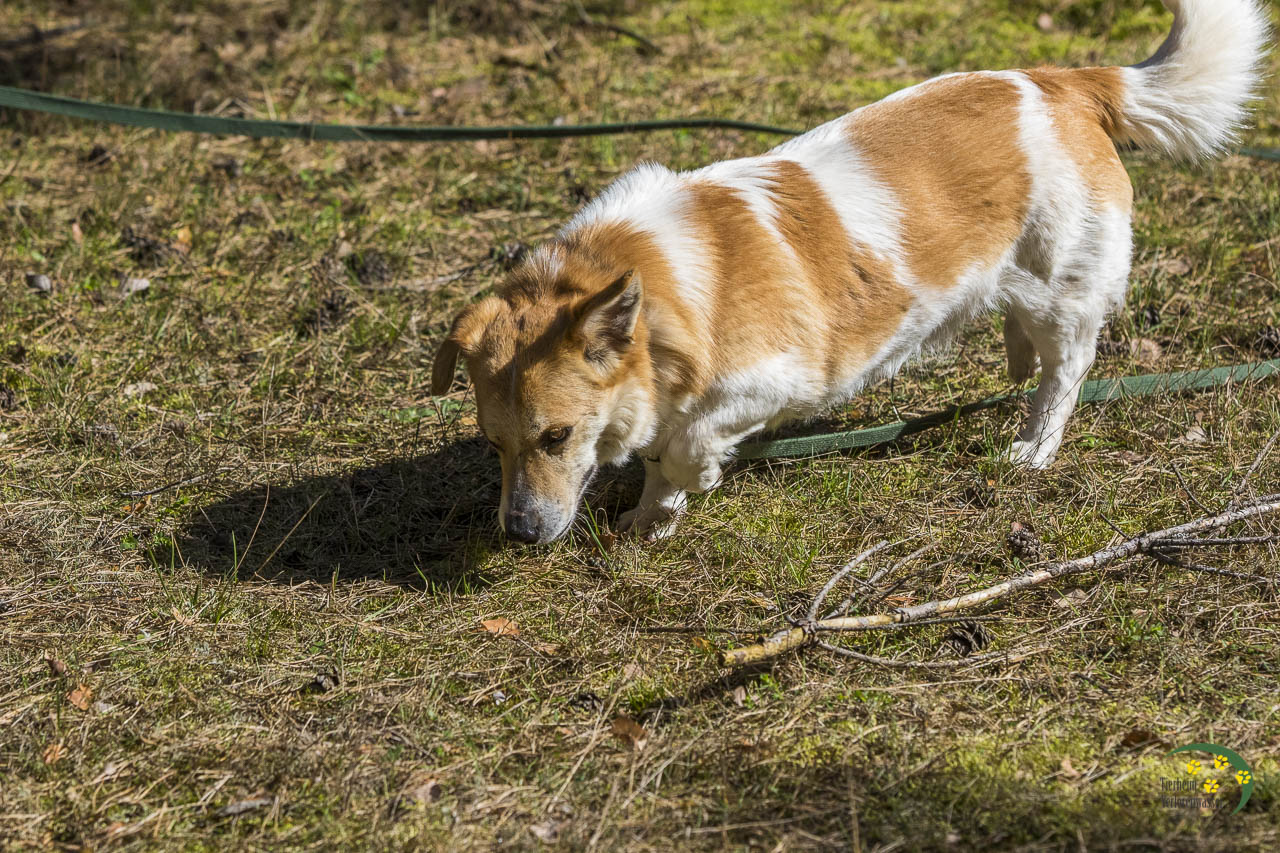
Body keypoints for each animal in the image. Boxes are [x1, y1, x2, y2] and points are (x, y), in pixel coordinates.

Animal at [432, 0, 1269, 544]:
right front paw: (651, 516)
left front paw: (681, 489)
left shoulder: (781, 379)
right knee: (1027, 333)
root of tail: (1065, 83)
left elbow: (685, 445)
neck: (659, 276)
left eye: (556, 435)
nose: (518, 533)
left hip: (1064, 288)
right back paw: (1014, 357)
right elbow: (661, 457)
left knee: (1068, 369)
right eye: (494, 443)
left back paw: (1034, 443)